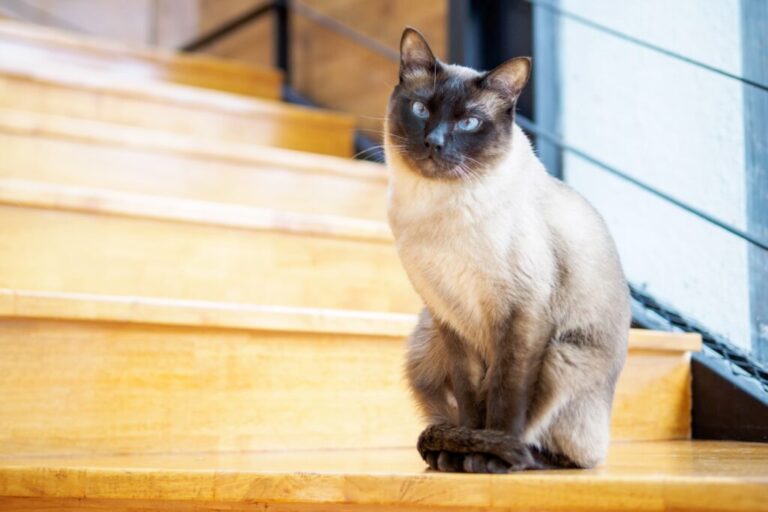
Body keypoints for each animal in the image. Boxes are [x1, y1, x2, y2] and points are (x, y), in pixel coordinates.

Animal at [384, 29, 632, 476]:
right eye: (420, 109)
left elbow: (505, 397)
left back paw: (511, 459)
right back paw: (447, 454)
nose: (434, 142)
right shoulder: (451, 316)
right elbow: (470, 399)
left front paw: (486, 455)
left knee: (569, 455)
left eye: (468, 122)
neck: (435, 211)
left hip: (562, 357)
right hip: (425, 340)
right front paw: (465, 451)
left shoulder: (521, 315)